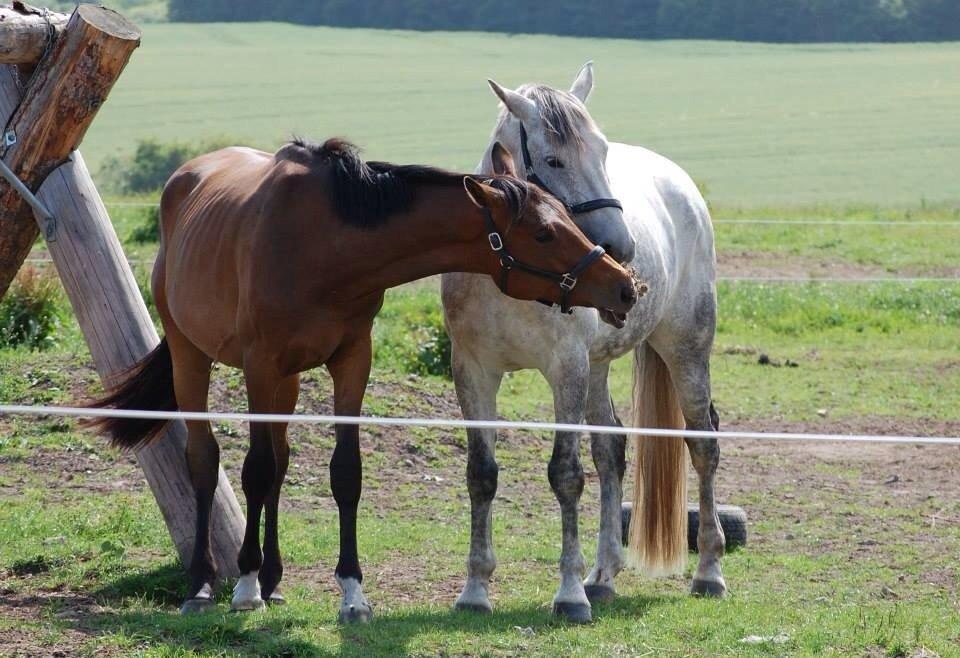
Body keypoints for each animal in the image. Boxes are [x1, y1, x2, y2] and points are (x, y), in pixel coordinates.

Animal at [86, 138, 632, 620]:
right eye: (543, 233)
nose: (624, 285)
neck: (323, 245)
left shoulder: (351, 362)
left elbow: (343, 473)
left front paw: (352, 595)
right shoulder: (260, 365)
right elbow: (254, 469)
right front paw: (243, 587)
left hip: (286, 383)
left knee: (280, 466)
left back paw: (273, 581)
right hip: (192, 357)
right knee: (206, 460)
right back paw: (203, 585)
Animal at [442, 61, 728, 620]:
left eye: (602, 152)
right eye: (553, 159)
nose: (620, 248)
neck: (510, 269)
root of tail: (679, 182)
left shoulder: (565, 369)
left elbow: (565, 474)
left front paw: (569, 594)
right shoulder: (474, 371)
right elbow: (481, 473)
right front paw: (475, 589)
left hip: (685, 349)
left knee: (702, 442)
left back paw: (708, 571)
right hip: (598, 367)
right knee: (611, 449)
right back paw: (604, 575)